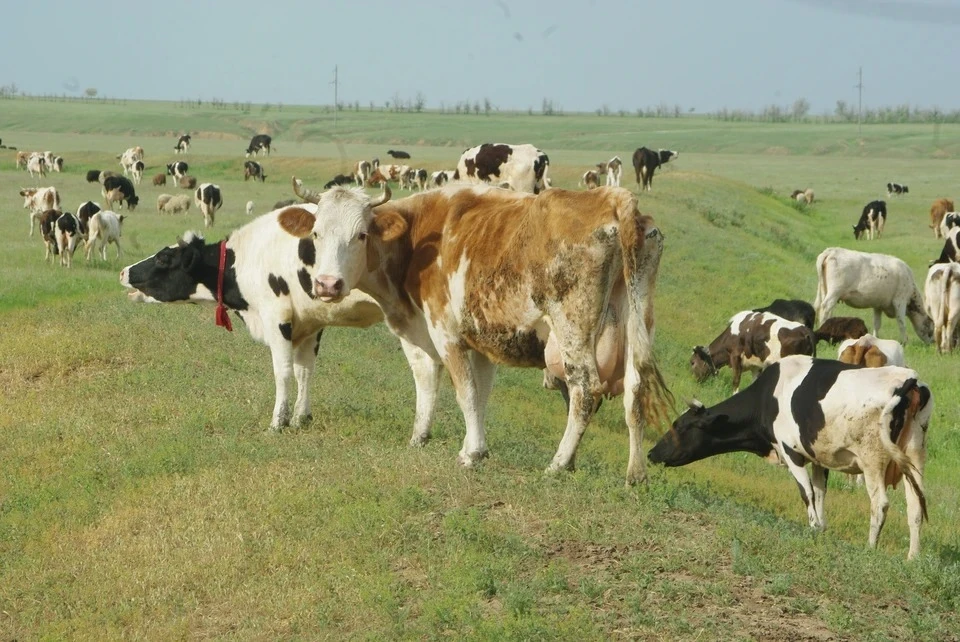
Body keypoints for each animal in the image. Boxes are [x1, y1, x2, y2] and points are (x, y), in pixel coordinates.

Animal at [119, 209, 440, 438]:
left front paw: (278, 423)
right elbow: (304, 372)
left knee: (425, 369)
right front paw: (300, 418)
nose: (124, 271)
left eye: (164, 258)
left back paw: (420, 435)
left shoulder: (277, 319)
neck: (247, 258)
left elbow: (282, 373)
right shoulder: (309, 326)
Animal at [284, 177, 672, 485]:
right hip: (638, 321)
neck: (418, 238)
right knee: (634, 390)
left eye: (361, 235)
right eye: (316, 233)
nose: (327, 284)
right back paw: (635, 474)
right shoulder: (481, 341)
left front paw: (469, 452)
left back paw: (559, 463)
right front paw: (433, 439)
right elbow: (468, 392)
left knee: (585, 389)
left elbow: (463, 392)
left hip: (572, 327)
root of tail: (612, 196)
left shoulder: (444, 333)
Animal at [649, 355, 932, 560]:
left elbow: (806, 493)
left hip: (873, 458)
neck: (768, 395)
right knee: (916, 505)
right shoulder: (819, 457)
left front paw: (813, 529)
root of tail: (909, 379)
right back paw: (913, 557)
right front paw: (822, 529)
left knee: (880, 503)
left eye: (679, 426)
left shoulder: (790, 451)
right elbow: (820, 492)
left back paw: (870, 548)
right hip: (915, 455)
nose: (651, 453)